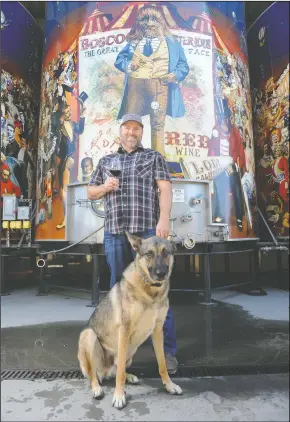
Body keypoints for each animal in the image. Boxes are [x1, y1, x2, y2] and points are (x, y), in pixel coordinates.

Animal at [77, 234, 181, 408]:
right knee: (95, 374)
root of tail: (105, 372)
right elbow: (119, 373)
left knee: (116, 370)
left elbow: (162, 365)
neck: (150, 290)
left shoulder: (158, 330)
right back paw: (96, 388)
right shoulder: (124, 330)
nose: (161, 273)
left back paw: (130, 376)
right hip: (89, 336)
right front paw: (119, 396)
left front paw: (169, 385)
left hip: (131, 352)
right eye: (149, 254)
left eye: (166, 253)